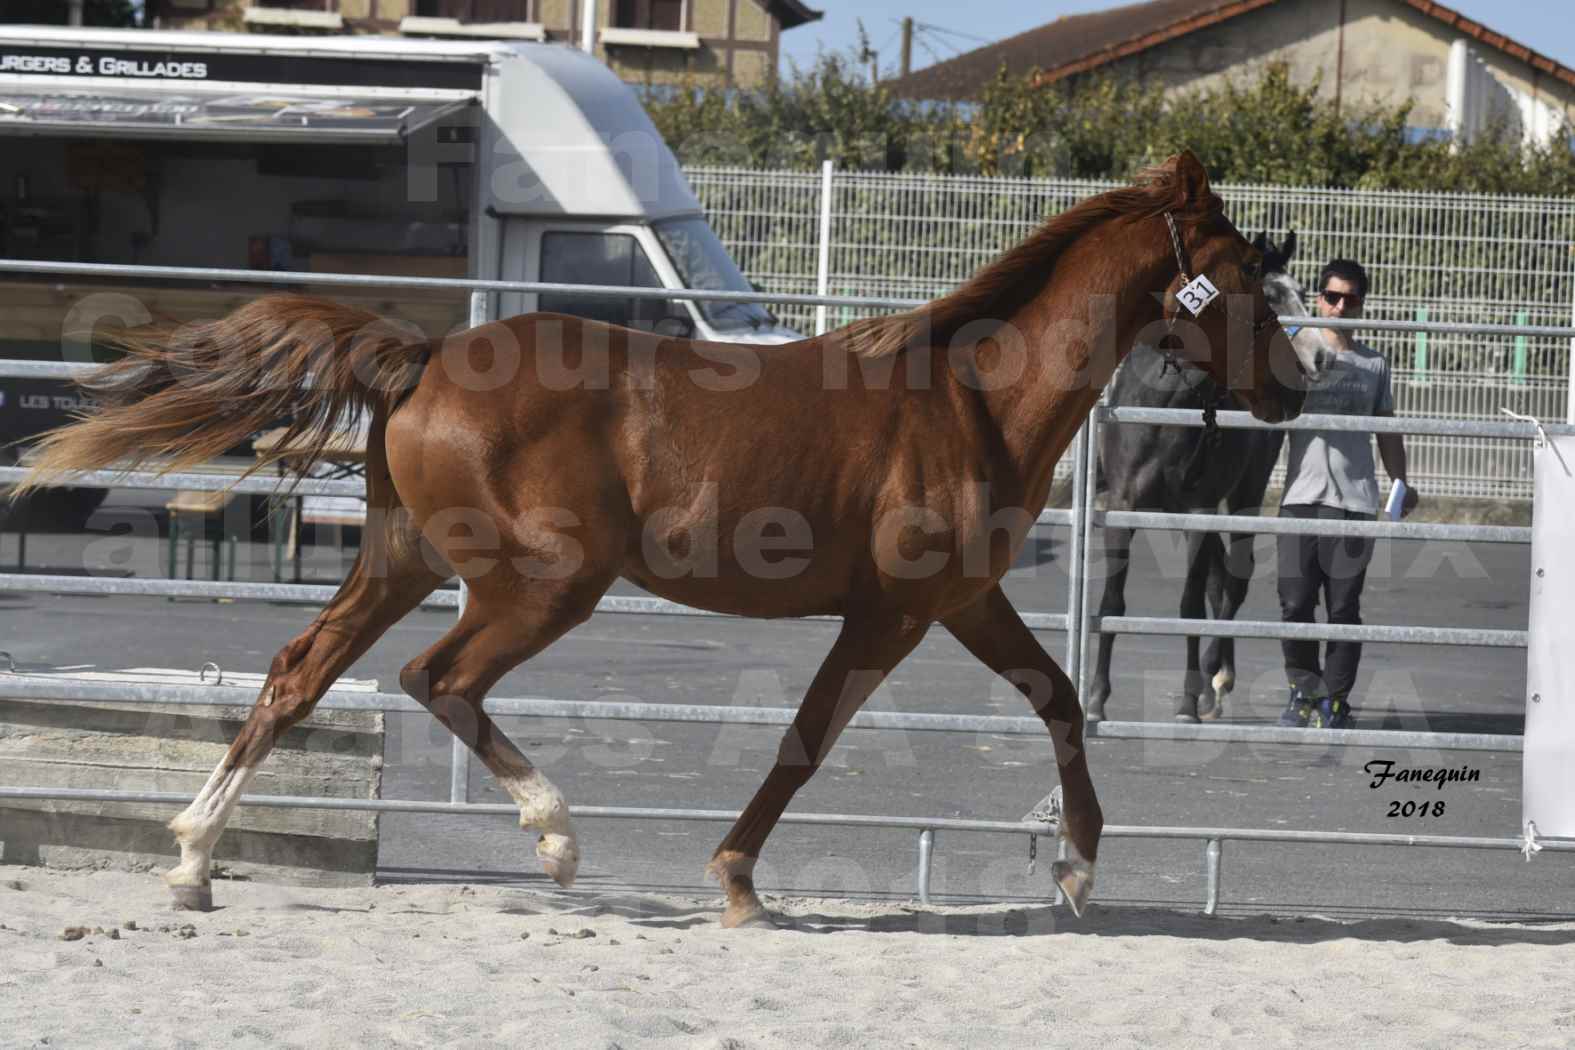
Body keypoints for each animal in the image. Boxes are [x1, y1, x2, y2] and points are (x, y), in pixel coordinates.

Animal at [21, 149, 1304, 925]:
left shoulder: (965, 601)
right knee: (438, 679)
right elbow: (807, 739)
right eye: (1244, 271)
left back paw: (192, 858)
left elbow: (1058, 700)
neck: (970, 397)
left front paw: (1080, 870)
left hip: (401, 560)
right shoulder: (893, 611)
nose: (1292, 389)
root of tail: (425, 355)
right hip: (543, 584)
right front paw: (735, 882)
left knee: (300, 674)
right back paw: (555, 841)